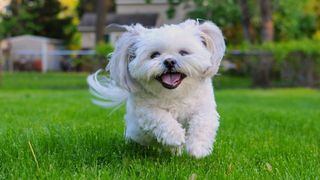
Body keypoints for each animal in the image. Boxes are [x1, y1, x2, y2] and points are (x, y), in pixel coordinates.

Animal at [87, 19, 225, 158]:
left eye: (183, 53)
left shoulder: (204, 107)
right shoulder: (145, 110)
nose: (169, 61)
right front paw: (175, 135)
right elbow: (160, 117)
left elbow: (202, 122)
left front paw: (198, 148)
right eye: (154, 55)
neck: (174, 94)